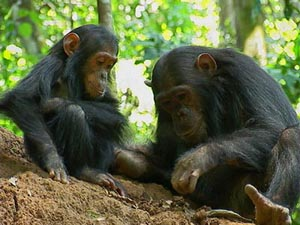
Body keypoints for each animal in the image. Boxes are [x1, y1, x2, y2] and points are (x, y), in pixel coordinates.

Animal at [0, 24, 127, 195]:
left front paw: (53, 103)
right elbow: (22, 99)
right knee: (74, 112)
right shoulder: (51, 64)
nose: (104, 76)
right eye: (100, 61)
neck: (72, 74)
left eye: (109, 65)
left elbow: (114, 112)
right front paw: (53, 160)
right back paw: (84, 171)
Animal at [115, 45, 300, 223]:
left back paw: (272, 210)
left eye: (182, 95)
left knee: (290, 136)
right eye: (167, 103)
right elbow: (164, 152)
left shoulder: (245, 76)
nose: (180, 114)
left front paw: (197, 158)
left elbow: (268, 126)